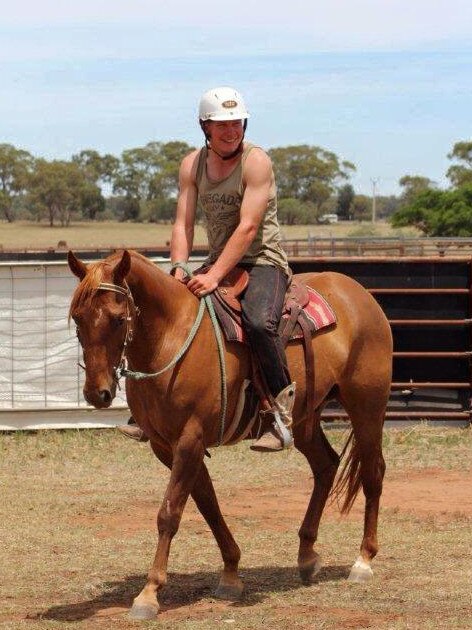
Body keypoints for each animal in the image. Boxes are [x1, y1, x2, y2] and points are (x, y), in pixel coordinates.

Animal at [66, 249, 390, 620]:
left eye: (119, 319)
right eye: (78, 318)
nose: (97, 393)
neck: (170, 337)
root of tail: (359, 293)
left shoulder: (189, 441)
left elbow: (169, 513)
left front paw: (148, 594)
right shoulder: (167, 447)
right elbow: (208, 505)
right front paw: (231, 573)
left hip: (367, 406)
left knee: (373, 473)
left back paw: (363, 560)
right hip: (306, 418)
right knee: (326, 465)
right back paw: (307, 557)